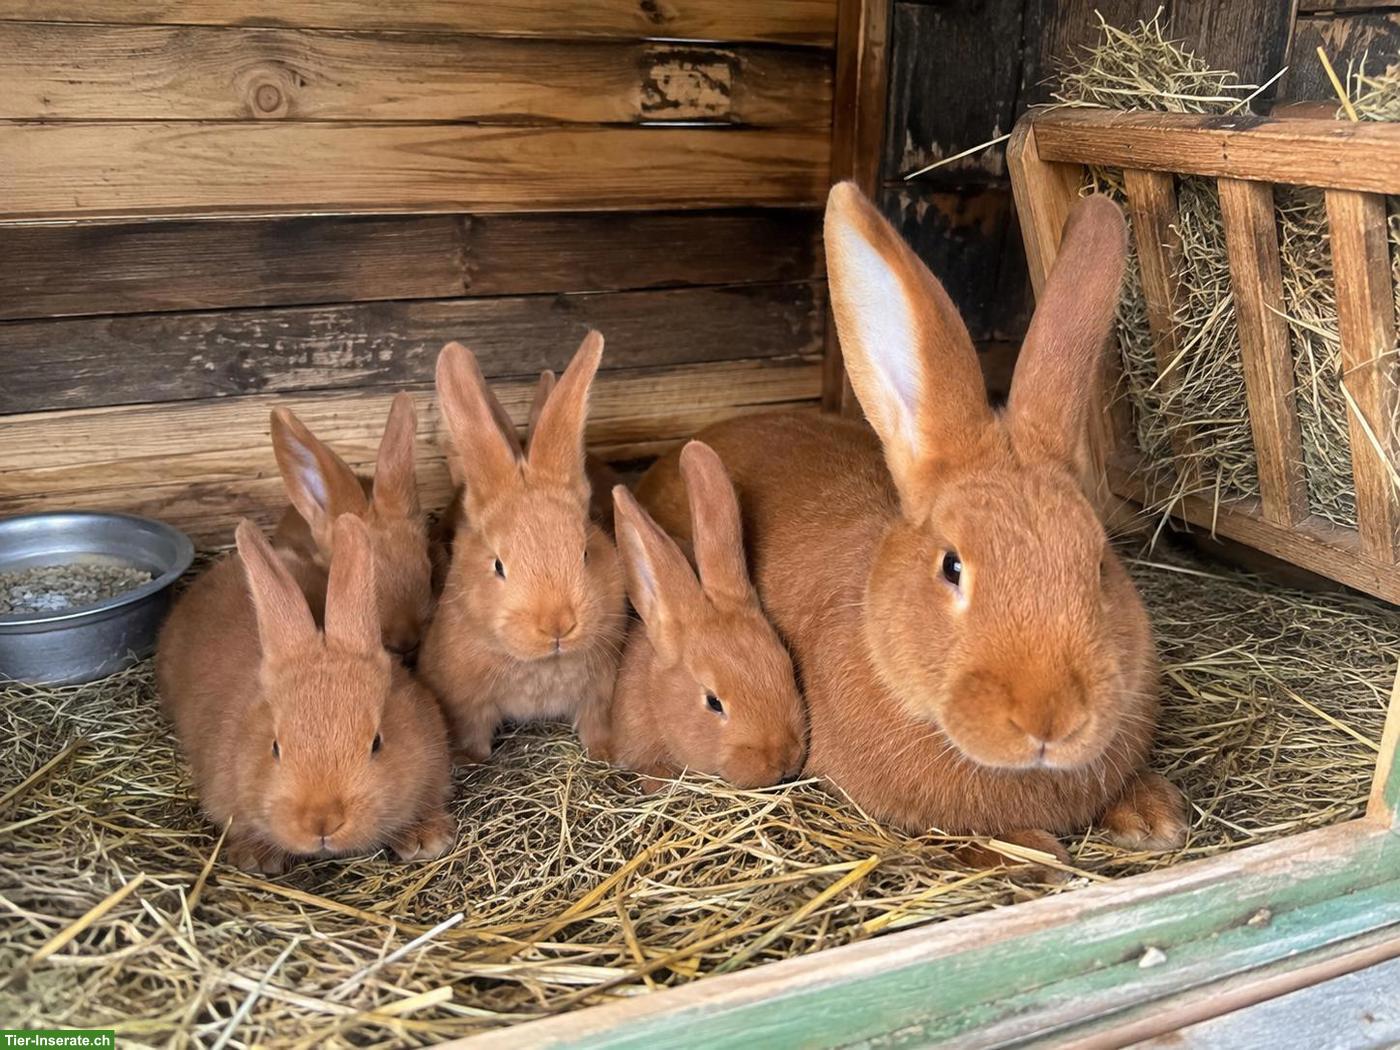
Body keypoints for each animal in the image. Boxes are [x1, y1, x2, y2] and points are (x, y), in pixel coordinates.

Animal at [418, 333, 627, 763]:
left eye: (585, 552)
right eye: (498, 565)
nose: (557, 625)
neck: (542, 665)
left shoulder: (600, 690)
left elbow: (595, 722)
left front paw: (605, 752)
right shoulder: (465, 701)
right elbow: (471, 732)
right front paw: (471, 759)